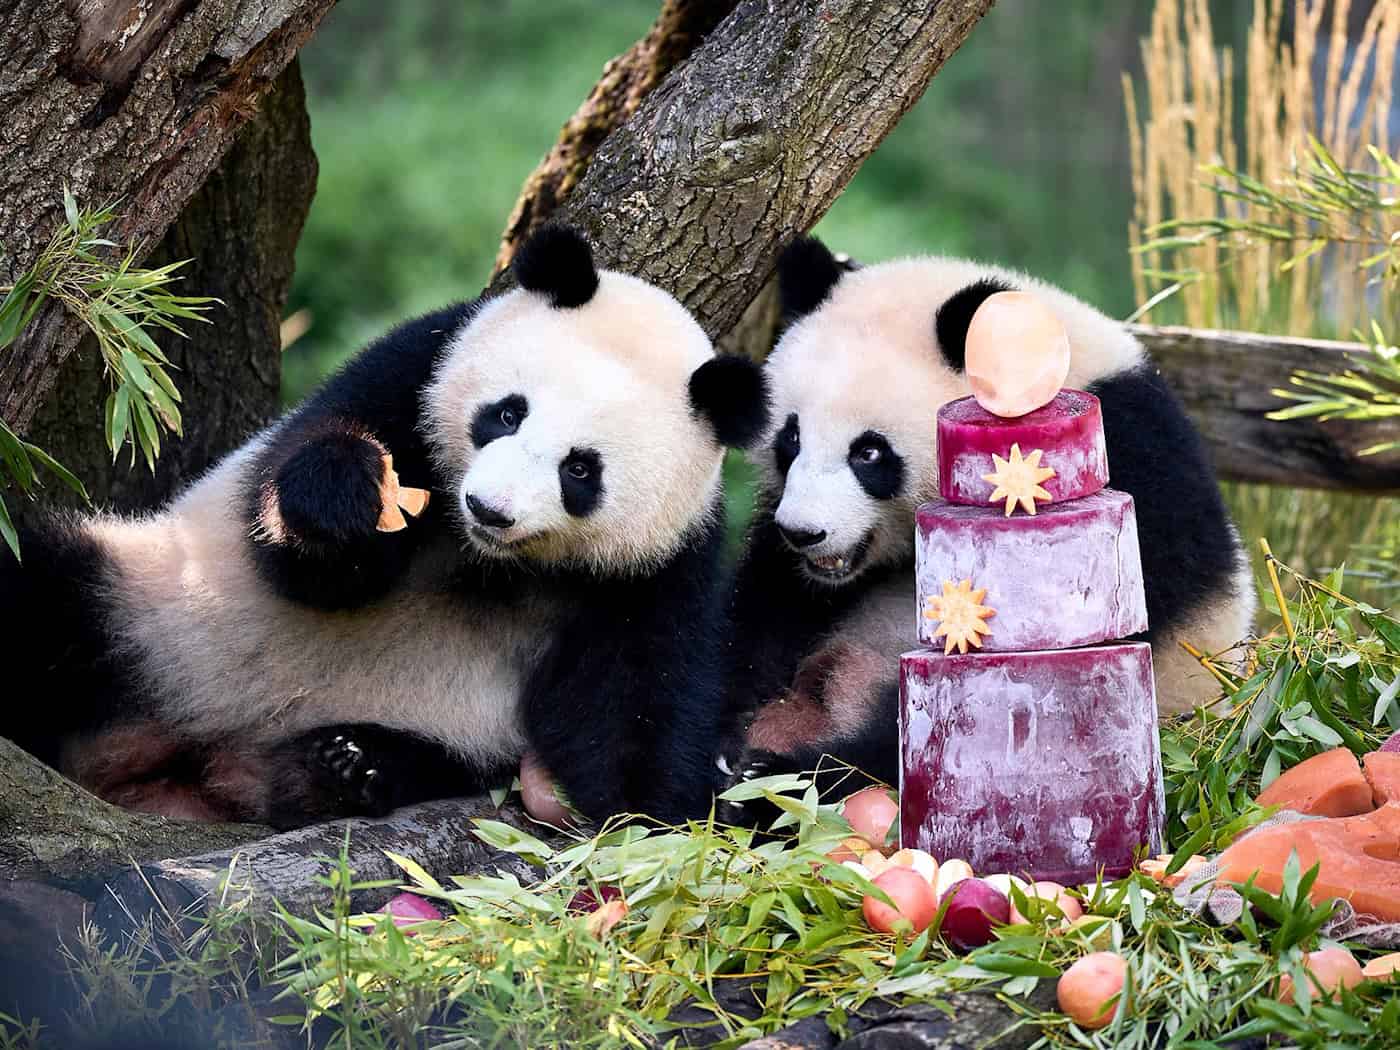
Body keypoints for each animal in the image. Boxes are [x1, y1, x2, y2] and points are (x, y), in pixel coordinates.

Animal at [1, 225, 770, 830]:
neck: (487, 560)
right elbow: (308, 562)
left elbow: (635, 704)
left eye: (580, 470)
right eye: (507, 413)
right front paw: (347, 499)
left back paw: (344, 769)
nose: (488, 508)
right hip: (154, 609)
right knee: (45, 596)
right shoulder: (412, 375)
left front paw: (660, 818)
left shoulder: (654, 566)